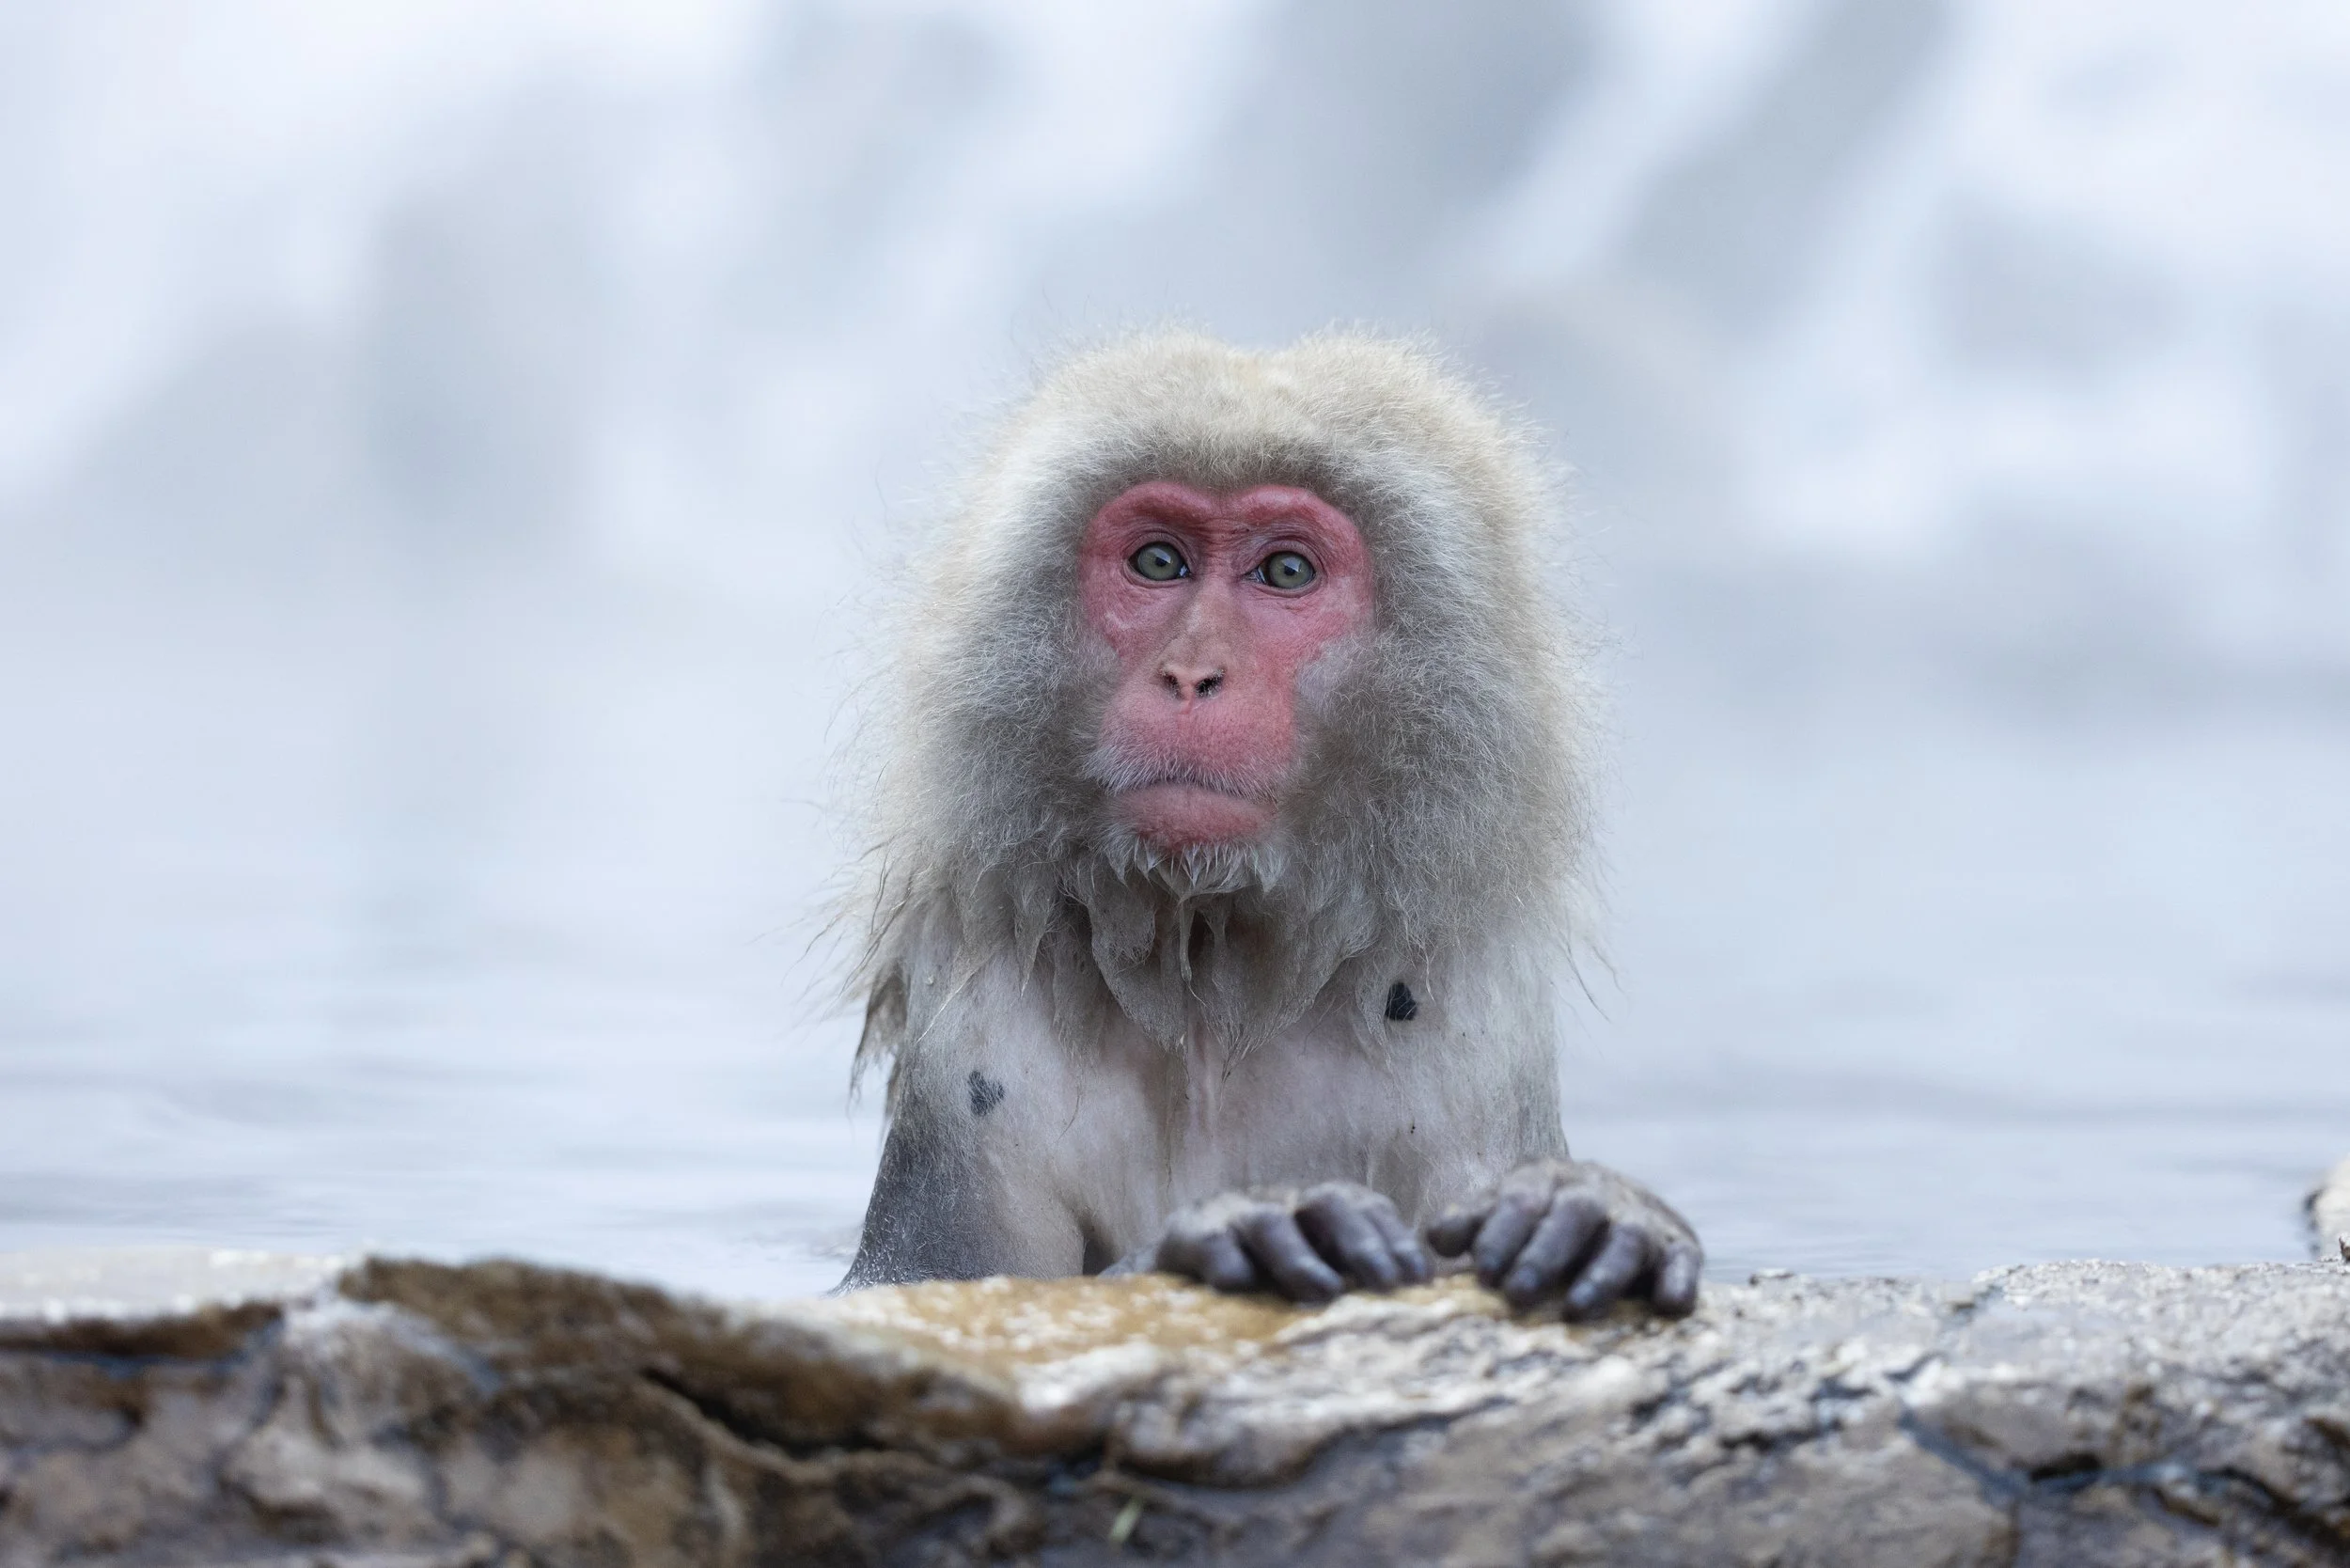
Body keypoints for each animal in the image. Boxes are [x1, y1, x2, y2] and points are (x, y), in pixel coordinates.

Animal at [839, 331, 1701, 1317]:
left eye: (1286, 572)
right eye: (1159, 562)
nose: (1192, 674)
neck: (1215, 966)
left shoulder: (1474, 1039)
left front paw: (1591, 1211)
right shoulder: (975, 1037)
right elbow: (922, 1281)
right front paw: (1245, 1226)